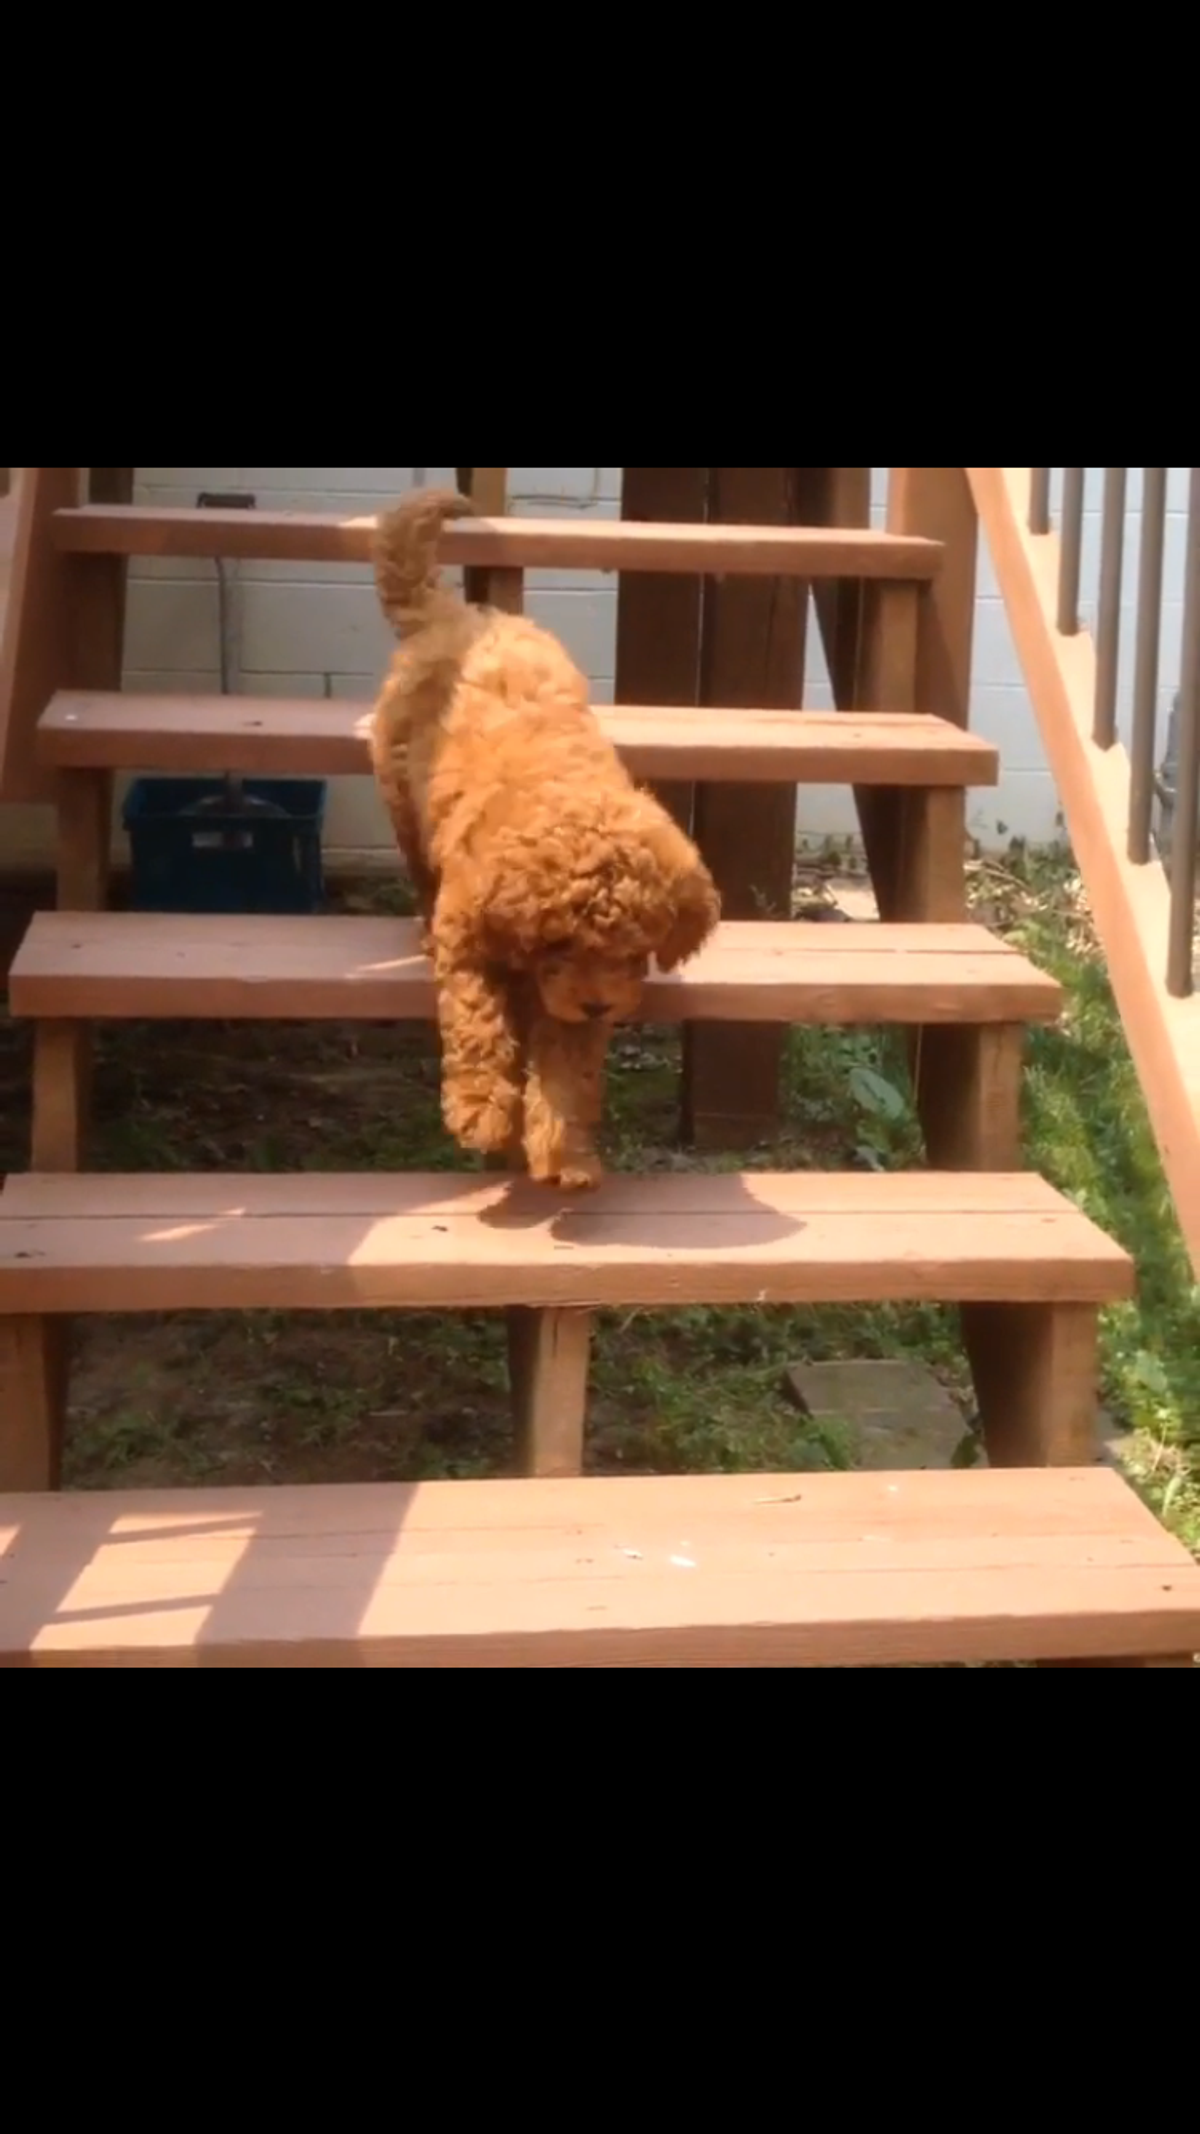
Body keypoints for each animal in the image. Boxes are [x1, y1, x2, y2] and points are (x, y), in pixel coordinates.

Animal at [369, 488, 713, 1186]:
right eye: (559, 941)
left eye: (633, 947)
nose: (600, 1006)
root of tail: (451, 613)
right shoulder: (471, 941)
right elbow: (477, 1020)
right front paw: (482, 1113)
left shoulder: (574, 1003)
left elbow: (567, 1070)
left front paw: (565, 1153)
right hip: (398, 790)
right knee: (417, 867)